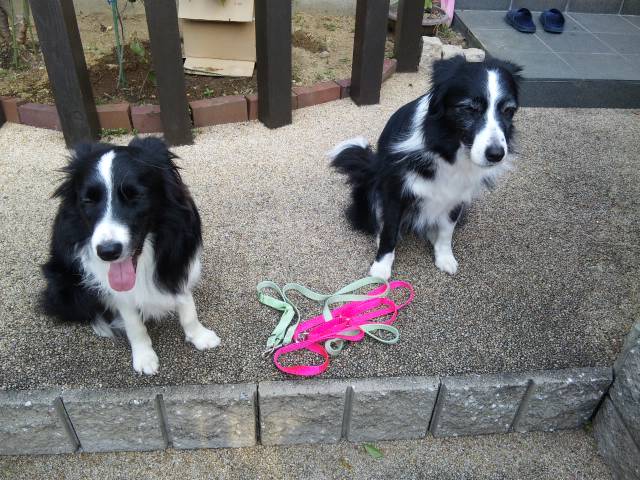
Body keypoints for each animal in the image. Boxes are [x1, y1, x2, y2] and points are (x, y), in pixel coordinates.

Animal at [41, 137, 220, 375]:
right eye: (88, 200)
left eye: (135, 195)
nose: (108, 252)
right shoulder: (117, 292)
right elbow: (134, 323)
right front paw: (144, 356)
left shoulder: (177, 264)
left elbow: (187, 307)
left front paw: (199, 336)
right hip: (65, 284)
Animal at [330, 56, 521, 279]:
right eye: (469, 109)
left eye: (508, 110)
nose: (496, 154)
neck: (446, 149)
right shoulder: (395, 191)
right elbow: (389, 230)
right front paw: (381, 268)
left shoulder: (457, 195)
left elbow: (447, 231)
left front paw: (445, 257)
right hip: (372, 188)